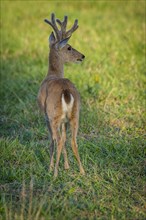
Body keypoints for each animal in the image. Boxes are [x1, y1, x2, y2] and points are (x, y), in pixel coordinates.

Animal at [37, 12, 85, 177]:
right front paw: (67, 166)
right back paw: (82, 171)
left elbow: (52, 140)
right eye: (69, 47)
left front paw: (52, 166)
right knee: (73, 140)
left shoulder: (45, 115)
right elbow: (65, 139)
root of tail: (66, 92)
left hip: (54, 115)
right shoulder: (64, 121)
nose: (82, 56)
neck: (52, 74)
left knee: (57, 140)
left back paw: (54, 173)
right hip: (75, 115)